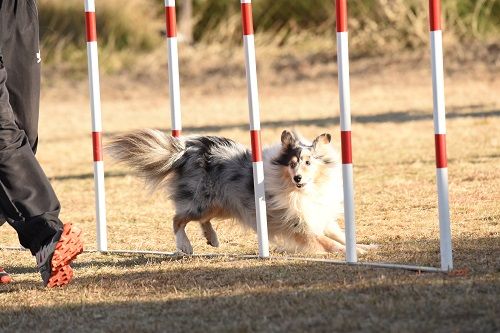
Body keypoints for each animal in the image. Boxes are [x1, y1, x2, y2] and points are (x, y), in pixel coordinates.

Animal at [105, 130, 374, 254]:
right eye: (292, 164)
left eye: (308, 162)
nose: (298, 178)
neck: (301, 190)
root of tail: (187, 149)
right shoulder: (298, 224)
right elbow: (326, 241)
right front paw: (351, 252)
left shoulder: (317, 215)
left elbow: (338, 234)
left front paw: (365, 247)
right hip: (203, 201)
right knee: (177, 219)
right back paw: (185, 246)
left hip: (222, 203)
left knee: (202, 220)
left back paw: (212, 238)